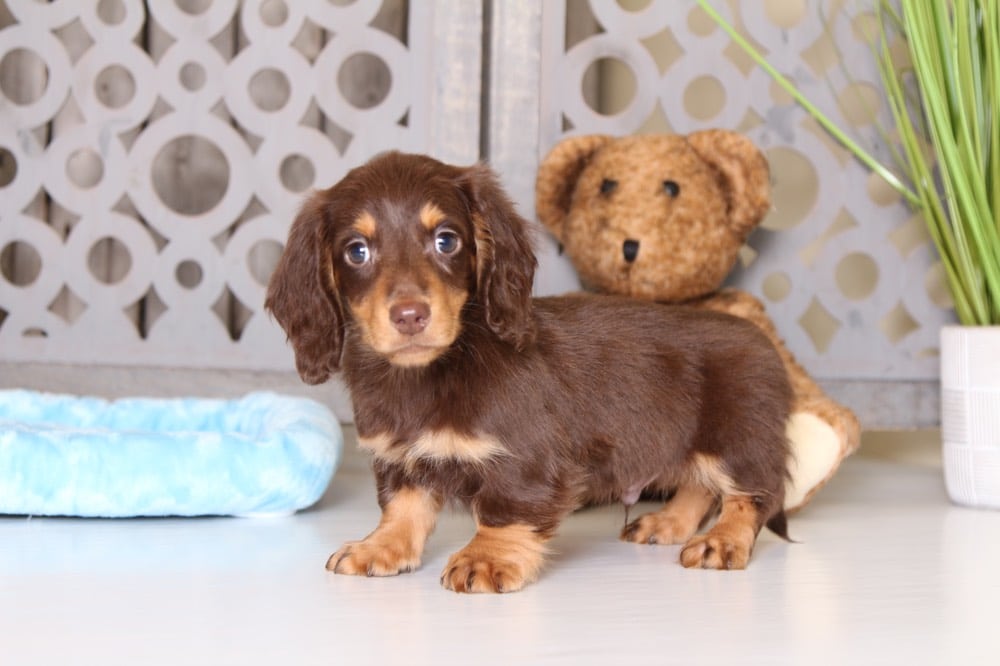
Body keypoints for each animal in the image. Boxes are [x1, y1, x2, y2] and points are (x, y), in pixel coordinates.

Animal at [264, 150, 788, 592]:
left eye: (446, 240)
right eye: (356, 251)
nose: (410, 316)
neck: (432, 374)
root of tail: (763, 342)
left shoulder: (525, 460)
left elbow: (505, 510)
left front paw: (485, 558)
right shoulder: (399, 459)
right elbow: (402, 508)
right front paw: (380, 547)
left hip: (738, 443)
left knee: (752, 495)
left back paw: (722, 540)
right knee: (699, 487)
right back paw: (668, 523)